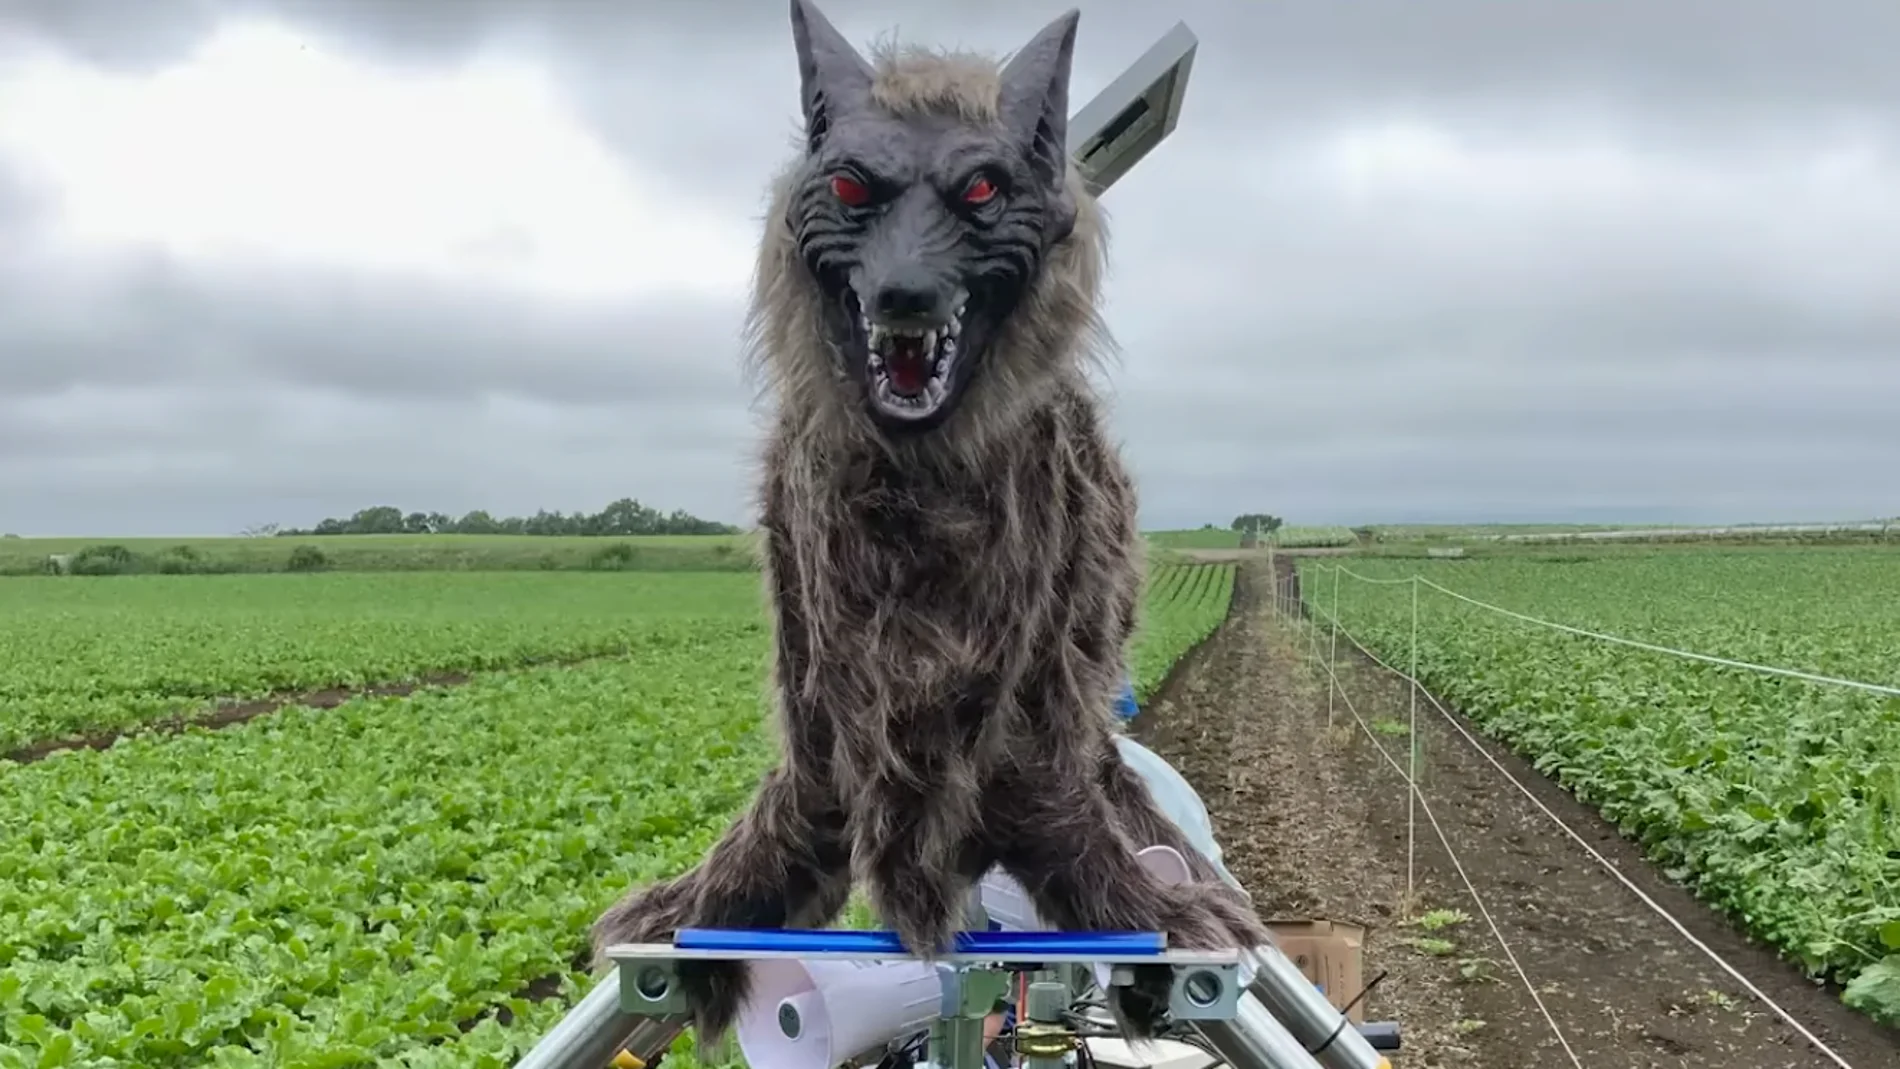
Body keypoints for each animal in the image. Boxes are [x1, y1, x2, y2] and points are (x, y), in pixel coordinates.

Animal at [591, 0, 1269, 1042]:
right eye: (849, 187)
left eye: (982, 188)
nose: (905, 291)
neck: (915, 483)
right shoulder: (819, 692)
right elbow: (786, 823)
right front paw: (699, 902)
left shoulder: (1030, 705)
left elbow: (1067, 810)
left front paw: (1155, 905)